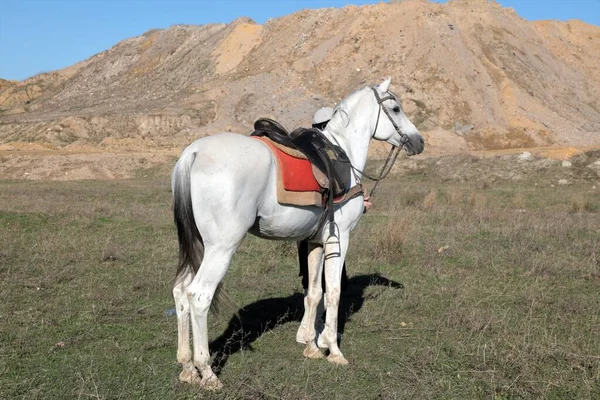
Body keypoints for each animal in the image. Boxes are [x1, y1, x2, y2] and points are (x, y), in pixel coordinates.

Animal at [170, 76, 422, 390]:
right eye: (396, 108)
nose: (419, 141)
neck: (344, 154)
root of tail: (193, 154)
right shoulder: (340, 239)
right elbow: (334, 292)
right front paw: (333, 349)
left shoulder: (315, 242)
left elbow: (314, 292)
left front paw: (312, 346)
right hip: (221, 247)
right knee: (199, 295)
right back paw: (207, 371)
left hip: (198, 244)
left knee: (180, 291)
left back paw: (187, 368)